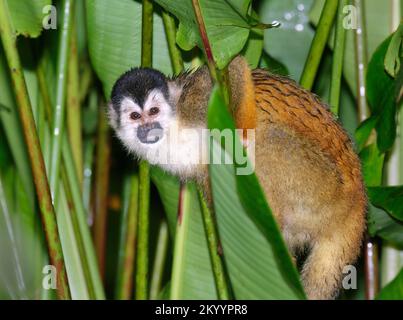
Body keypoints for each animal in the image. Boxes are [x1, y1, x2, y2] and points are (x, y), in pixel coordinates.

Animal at [109, 56, 368, 298]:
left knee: (266, 139)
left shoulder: (197, 97)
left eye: (153, 111)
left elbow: (235, 69)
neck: (174, 125)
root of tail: (358, 201)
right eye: (135, 116)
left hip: (326, 188)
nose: (147, 127)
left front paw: (237, 137)